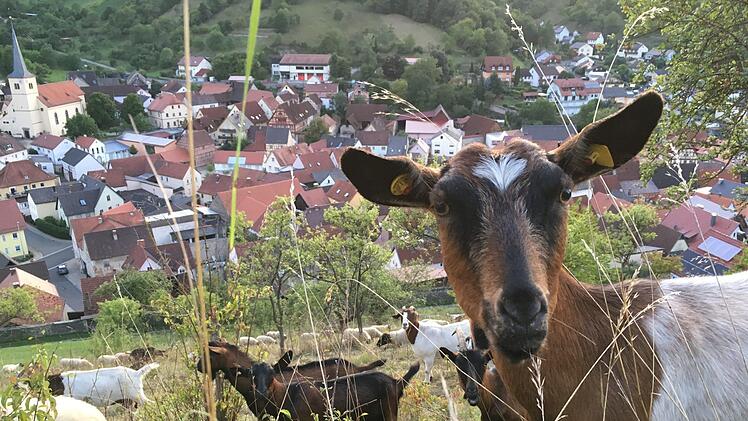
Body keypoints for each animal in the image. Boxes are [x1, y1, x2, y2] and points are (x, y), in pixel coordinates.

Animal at [243, 361, 420, 420]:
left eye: (272, 374)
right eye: (252, 375)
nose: (261, 392)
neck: (288, 395)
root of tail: (396, 382)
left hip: (389, 412)